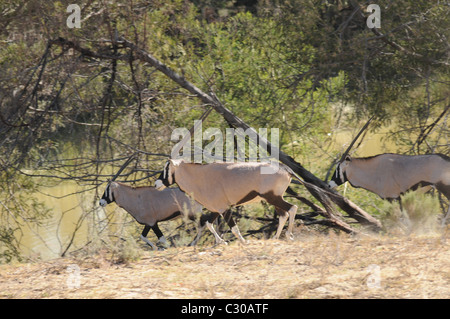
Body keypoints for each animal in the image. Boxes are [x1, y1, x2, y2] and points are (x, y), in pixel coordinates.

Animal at [155, 160, 298, 242]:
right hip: (273, 198)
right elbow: (208, 224)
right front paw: (221, 242)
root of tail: (285, 168)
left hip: (272, 197)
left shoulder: (224, 209)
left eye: (166, 168)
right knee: (283, 214)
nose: (156, 184)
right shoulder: (216, 209)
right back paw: (276, 238)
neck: (200, 177)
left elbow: (234, 229)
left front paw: (244, 243)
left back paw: (289, 235)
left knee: (292, 208)